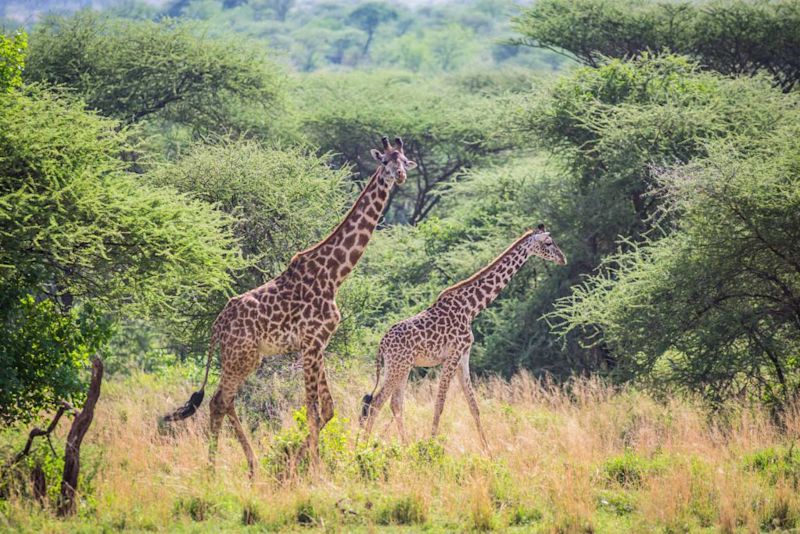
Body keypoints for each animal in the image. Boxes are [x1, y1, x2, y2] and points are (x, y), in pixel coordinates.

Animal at [159, 137, 416, 478]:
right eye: (385, 162)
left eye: (403, 160)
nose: (399, 176)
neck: (335, 275)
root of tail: (217, 326)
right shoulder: (310, 343)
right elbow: (312, 410)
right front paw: (309, 469)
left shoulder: (317, 344)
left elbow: (327, 409)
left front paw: (298, 461)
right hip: (242, 357)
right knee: (219, 401)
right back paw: (219, 469)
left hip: (244, 358)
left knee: (222, 401)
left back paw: (245, 466)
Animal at [360, 226, 564, 448]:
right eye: (548, 243)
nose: (563, 258)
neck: (471, 307)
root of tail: (381, 344)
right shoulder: (453, 355)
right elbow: (439, 404)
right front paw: (431, 447)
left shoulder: (464, 356)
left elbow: (473, 405)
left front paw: (488, 450)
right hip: (398, 366)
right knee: (376, 402)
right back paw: (363, 447)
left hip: (401, 367)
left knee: (395, 403)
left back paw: (404, 446)